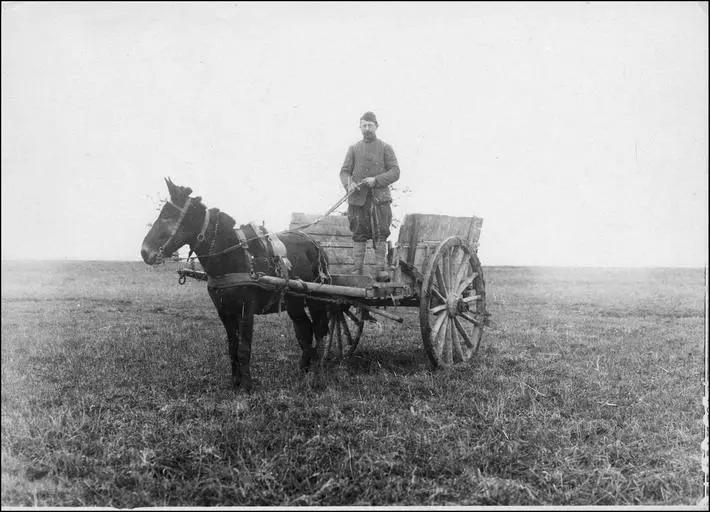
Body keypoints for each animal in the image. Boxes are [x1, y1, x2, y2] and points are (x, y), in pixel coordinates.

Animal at [145, 178, 334, 390]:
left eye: (168, 216)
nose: (145, 251)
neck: (231, 255)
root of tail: (316, 245)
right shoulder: (224, 310)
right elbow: (232, 346)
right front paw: (235, 382)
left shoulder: (246, 309)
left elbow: (244, 348)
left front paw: (247, 385)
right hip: (294, 302)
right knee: (305, 331)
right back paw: (303, 370)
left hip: (316, 300)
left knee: (320, 330)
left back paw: (316, 372)